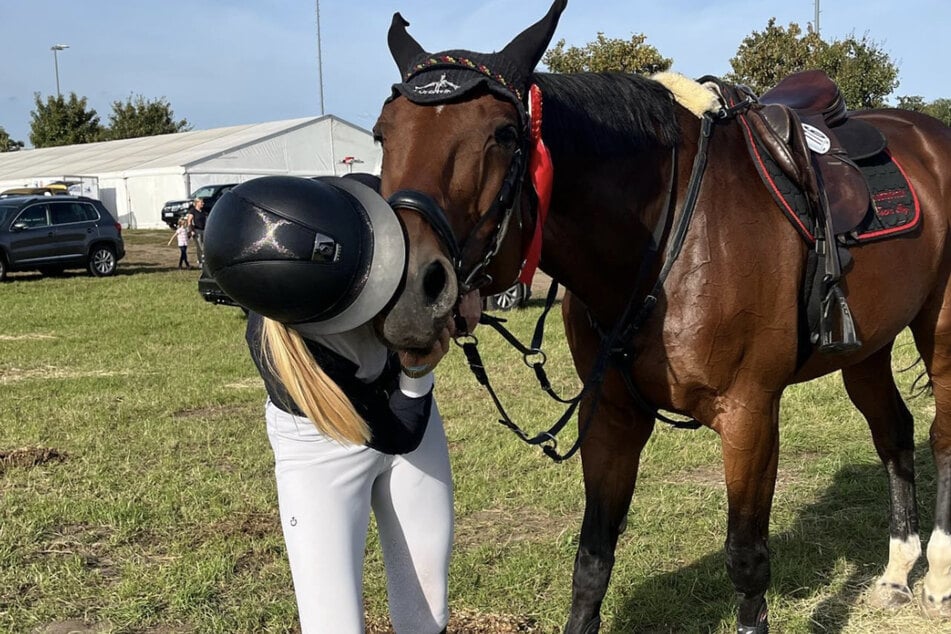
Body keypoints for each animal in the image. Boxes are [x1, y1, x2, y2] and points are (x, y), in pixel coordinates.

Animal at [372, 2, 951, 628]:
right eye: (383, 133)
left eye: (503, 134)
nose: (409, 293)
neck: (668, 238)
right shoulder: (611, 415)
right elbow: (592, 560)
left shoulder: (749, 416)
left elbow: (746, 562)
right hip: (866, 348)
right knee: (893, 432)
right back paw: (895, 574)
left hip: (940, 333)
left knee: (941, 436)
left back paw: (938, 578)